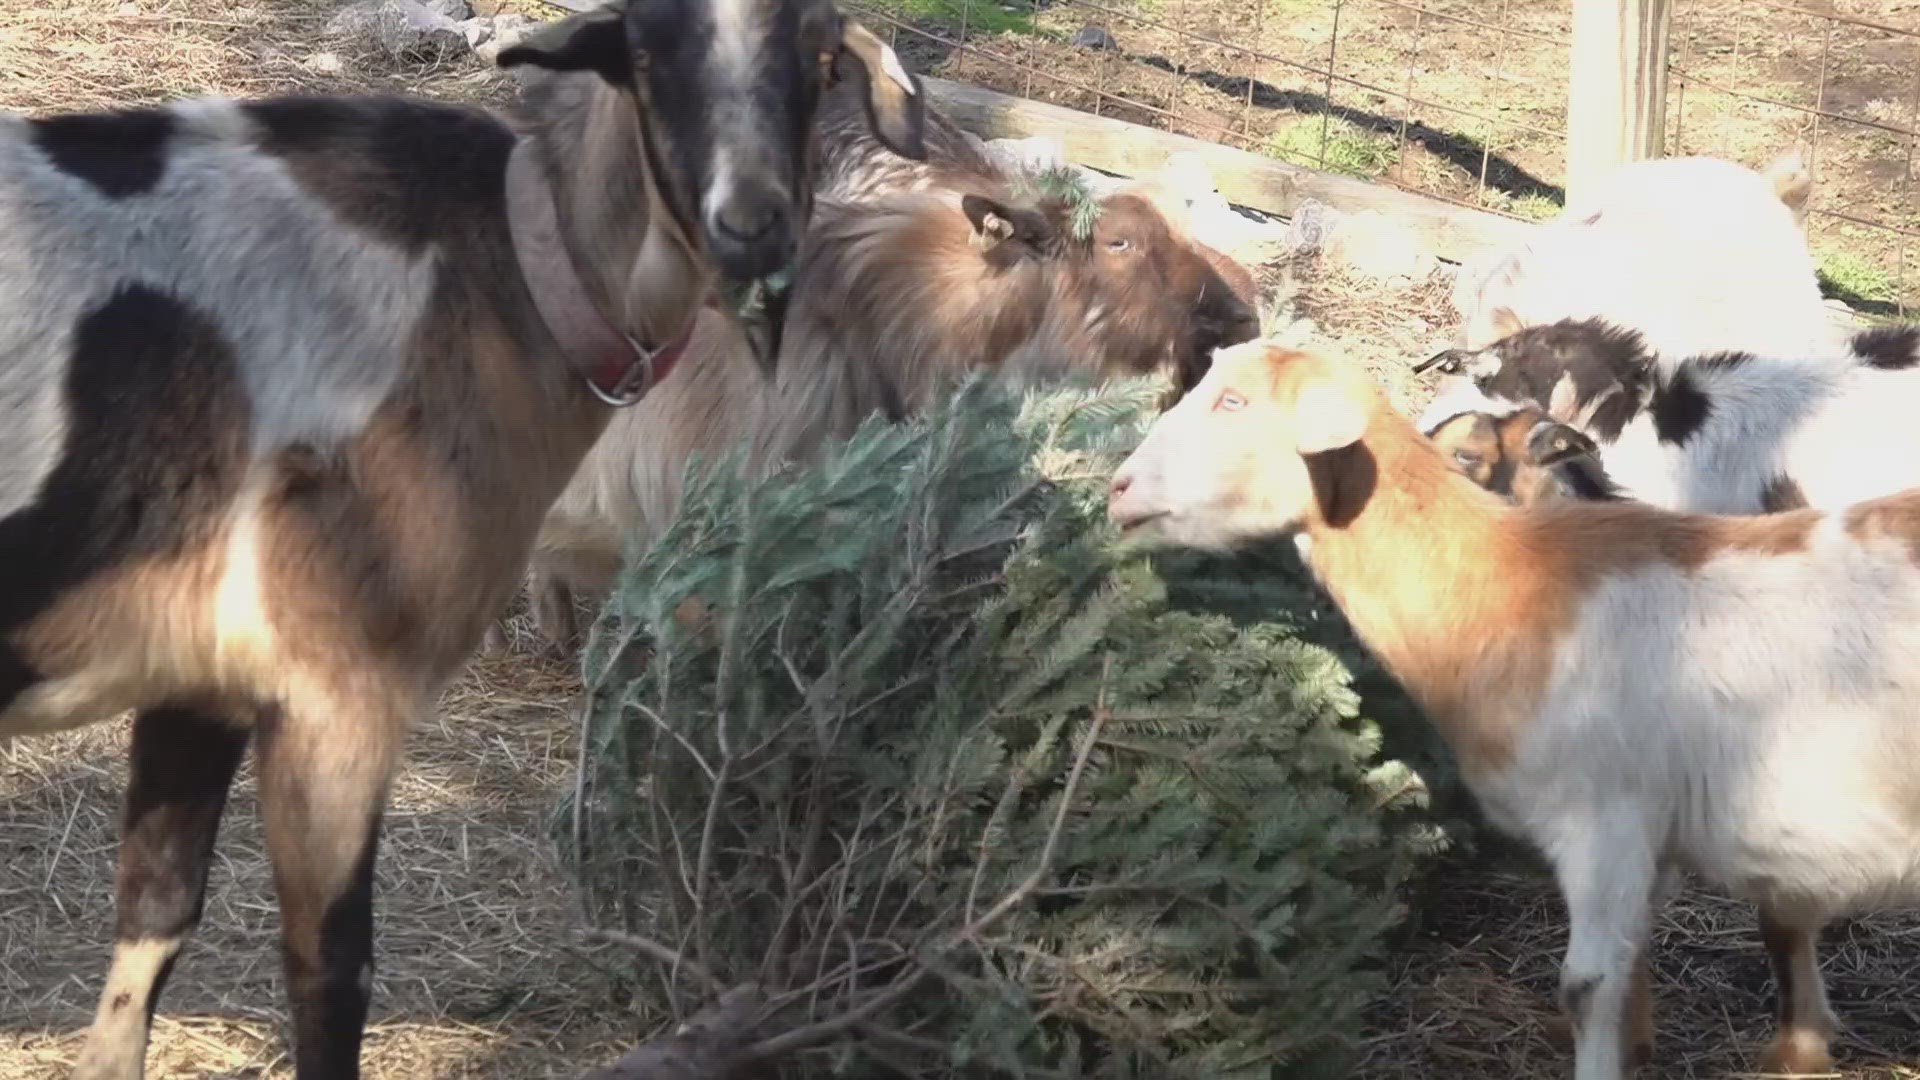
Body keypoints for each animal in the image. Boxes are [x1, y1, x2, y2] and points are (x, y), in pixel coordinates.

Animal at [0, 4, 929, 1068]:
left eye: (820, 56)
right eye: (644, 52)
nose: (751, 224)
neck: (501, 271)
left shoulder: (199, 674)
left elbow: (155, 914)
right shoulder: (338, 690)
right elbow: (332, 974)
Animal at [1113, 338, 1920, 1076]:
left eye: (1233, 401)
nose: (1118, 488)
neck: (1506, 585)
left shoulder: (1605, 818)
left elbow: (1587, 987)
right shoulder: (1653, 842)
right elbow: (1636, 969)